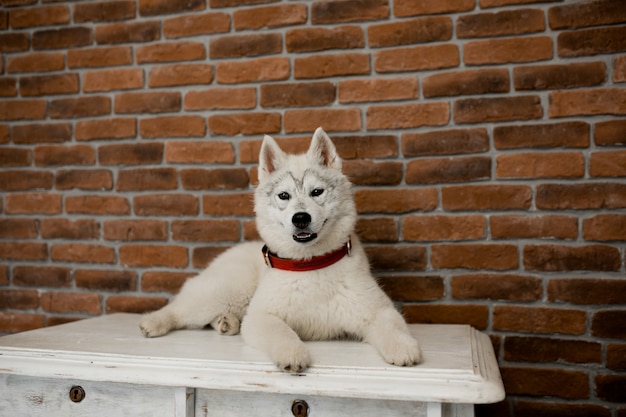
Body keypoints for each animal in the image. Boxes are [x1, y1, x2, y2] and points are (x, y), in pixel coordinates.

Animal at [140, 127, 422, 370]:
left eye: (316, 192)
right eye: (284, 196)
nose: (301, 218)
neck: (310, 265)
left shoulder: (378, 310)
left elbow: (392, 327)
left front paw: (404, 348)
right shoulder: (261, 316)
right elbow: (282, 331)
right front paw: (292, 353)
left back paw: (225, 322)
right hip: (226, 291)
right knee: (180, 308)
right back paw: (154, 321)